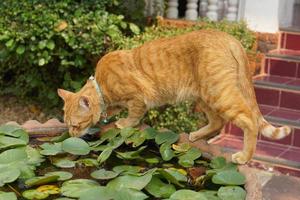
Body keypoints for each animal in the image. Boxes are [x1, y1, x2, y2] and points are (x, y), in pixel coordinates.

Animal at [58, 29, 290, 164]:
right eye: (68, 125)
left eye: (76, 125)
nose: (71, 136)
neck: (102, 86)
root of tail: (230, 38)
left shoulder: (138, 97)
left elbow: (133, 115)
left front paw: (123, 123)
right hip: (203, 97)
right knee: (218, 122)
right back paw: (196, 135)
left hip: (219, 93)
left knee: (249, 120)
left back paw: (243, 157)